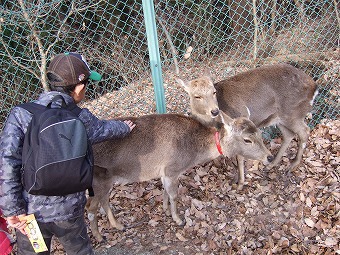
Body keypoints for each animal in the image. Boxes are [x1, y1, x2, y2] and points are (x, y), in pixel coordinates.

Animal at [86, 112, 272, 242]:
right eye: (247, 140)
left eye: (259, 133)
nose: (269, 157)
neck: (192, 154)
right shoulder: (171, 169)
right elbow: (174, 195)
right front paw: (178, 219)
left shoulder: (164, 172)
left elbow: (165, 192)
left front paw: (166, 210)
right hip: (98, 181)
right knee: (91, 208)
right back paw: (100, 236)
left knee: (103, 202)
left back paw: (118, 226)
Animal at [178, 63, 318, 190]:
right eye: (197, 96)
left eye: (214, 92)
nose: (215, 111)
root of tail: (314, 87)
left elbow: (239, 157)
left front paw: (239, 183)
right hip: (279, 118)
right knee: (289, 134)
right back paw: (271, 164)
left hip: (292, 113)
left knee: (305, 131)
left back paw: (292, 165)